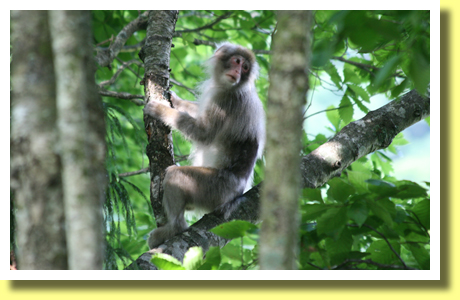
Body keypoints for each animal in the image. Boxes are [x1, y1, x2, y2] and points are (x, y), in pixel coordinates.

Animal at [144, 42, 266, 248]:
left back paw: (174, 229)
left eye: (245, 68)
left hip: (216, 189)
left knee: (176, 174)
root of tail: (235, 195)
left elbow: (204, 134)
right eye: (237, 62)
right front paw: (176, 100)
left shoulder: (227, 101)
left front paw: (161, 110)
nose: (238, 71)